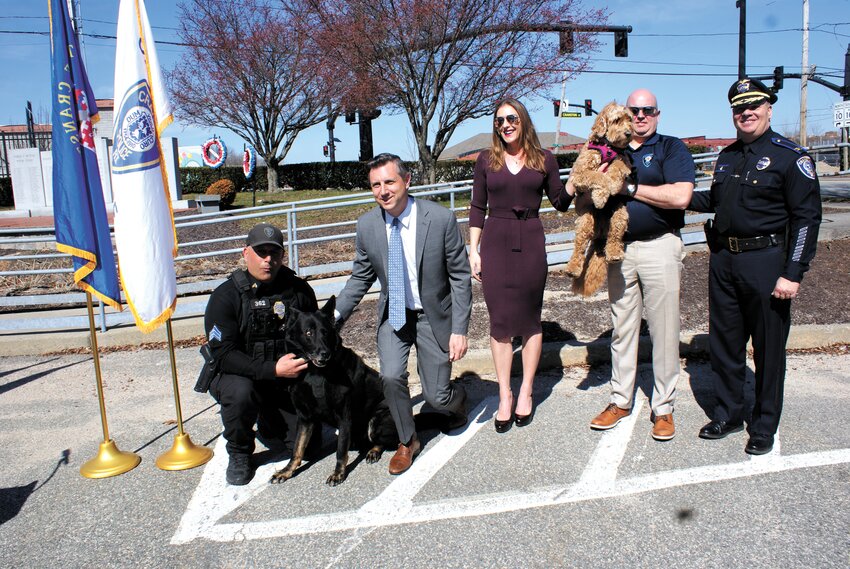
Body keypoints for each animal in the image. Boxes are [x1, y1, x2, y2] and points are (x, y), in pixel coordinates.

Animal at [270, 296, 400, 486]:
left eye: (325, 332)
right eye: (308, 333)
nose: (325, 353)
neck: (315, 373)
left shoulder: (344, 416)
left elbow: (340, 451)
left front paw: (338, 473)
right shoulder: (305, 418)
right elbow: (297, 449)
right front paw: (286, 471)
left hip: (377, 420)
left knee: (385, 441)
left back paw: (373, 451)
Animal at [564, 102, 628, 296]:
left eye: (629, 119)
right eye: (617, 119)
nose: (629, 133)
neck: (608, 147)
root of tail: (601, 233)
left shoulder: (623, 162)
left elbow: (616, 169)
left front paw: (611, 186)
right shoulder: (579, 173)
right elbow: (597, 176)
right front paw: (600, 197)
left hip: (620, 215)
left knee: (615, 238)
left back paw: (614, 254)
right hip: (585, 222)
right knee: (579, 248)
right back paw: (572, 269)